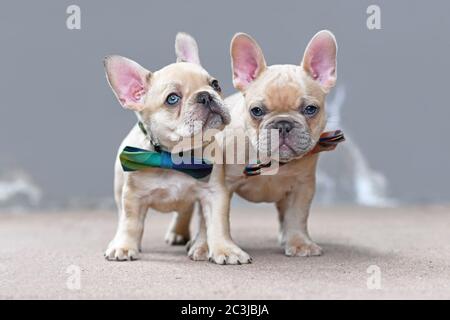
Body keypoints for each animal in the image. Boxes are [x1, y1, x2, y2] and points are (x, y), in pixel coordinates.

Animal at [103, 32, 230, 262]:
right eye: (172, 99)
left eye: (215, 84)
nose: (205, 95)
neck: (174, 156)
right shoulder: (133, 196)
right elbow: (130, 223)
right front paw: (124, 247)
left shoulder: (214, 193)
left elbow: (217, 223)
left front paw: (224, 249)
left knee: (192, 216)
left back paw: (195, 243)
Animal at [185, 30, 338, 264]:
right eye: (256, 111)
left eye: (311, 109)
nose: (283, 124)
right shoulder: (217, 185)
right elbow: (208, 220)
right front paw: (203, 247)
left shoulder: (303, 186)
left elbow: (297, 216)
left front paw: (299, 242)